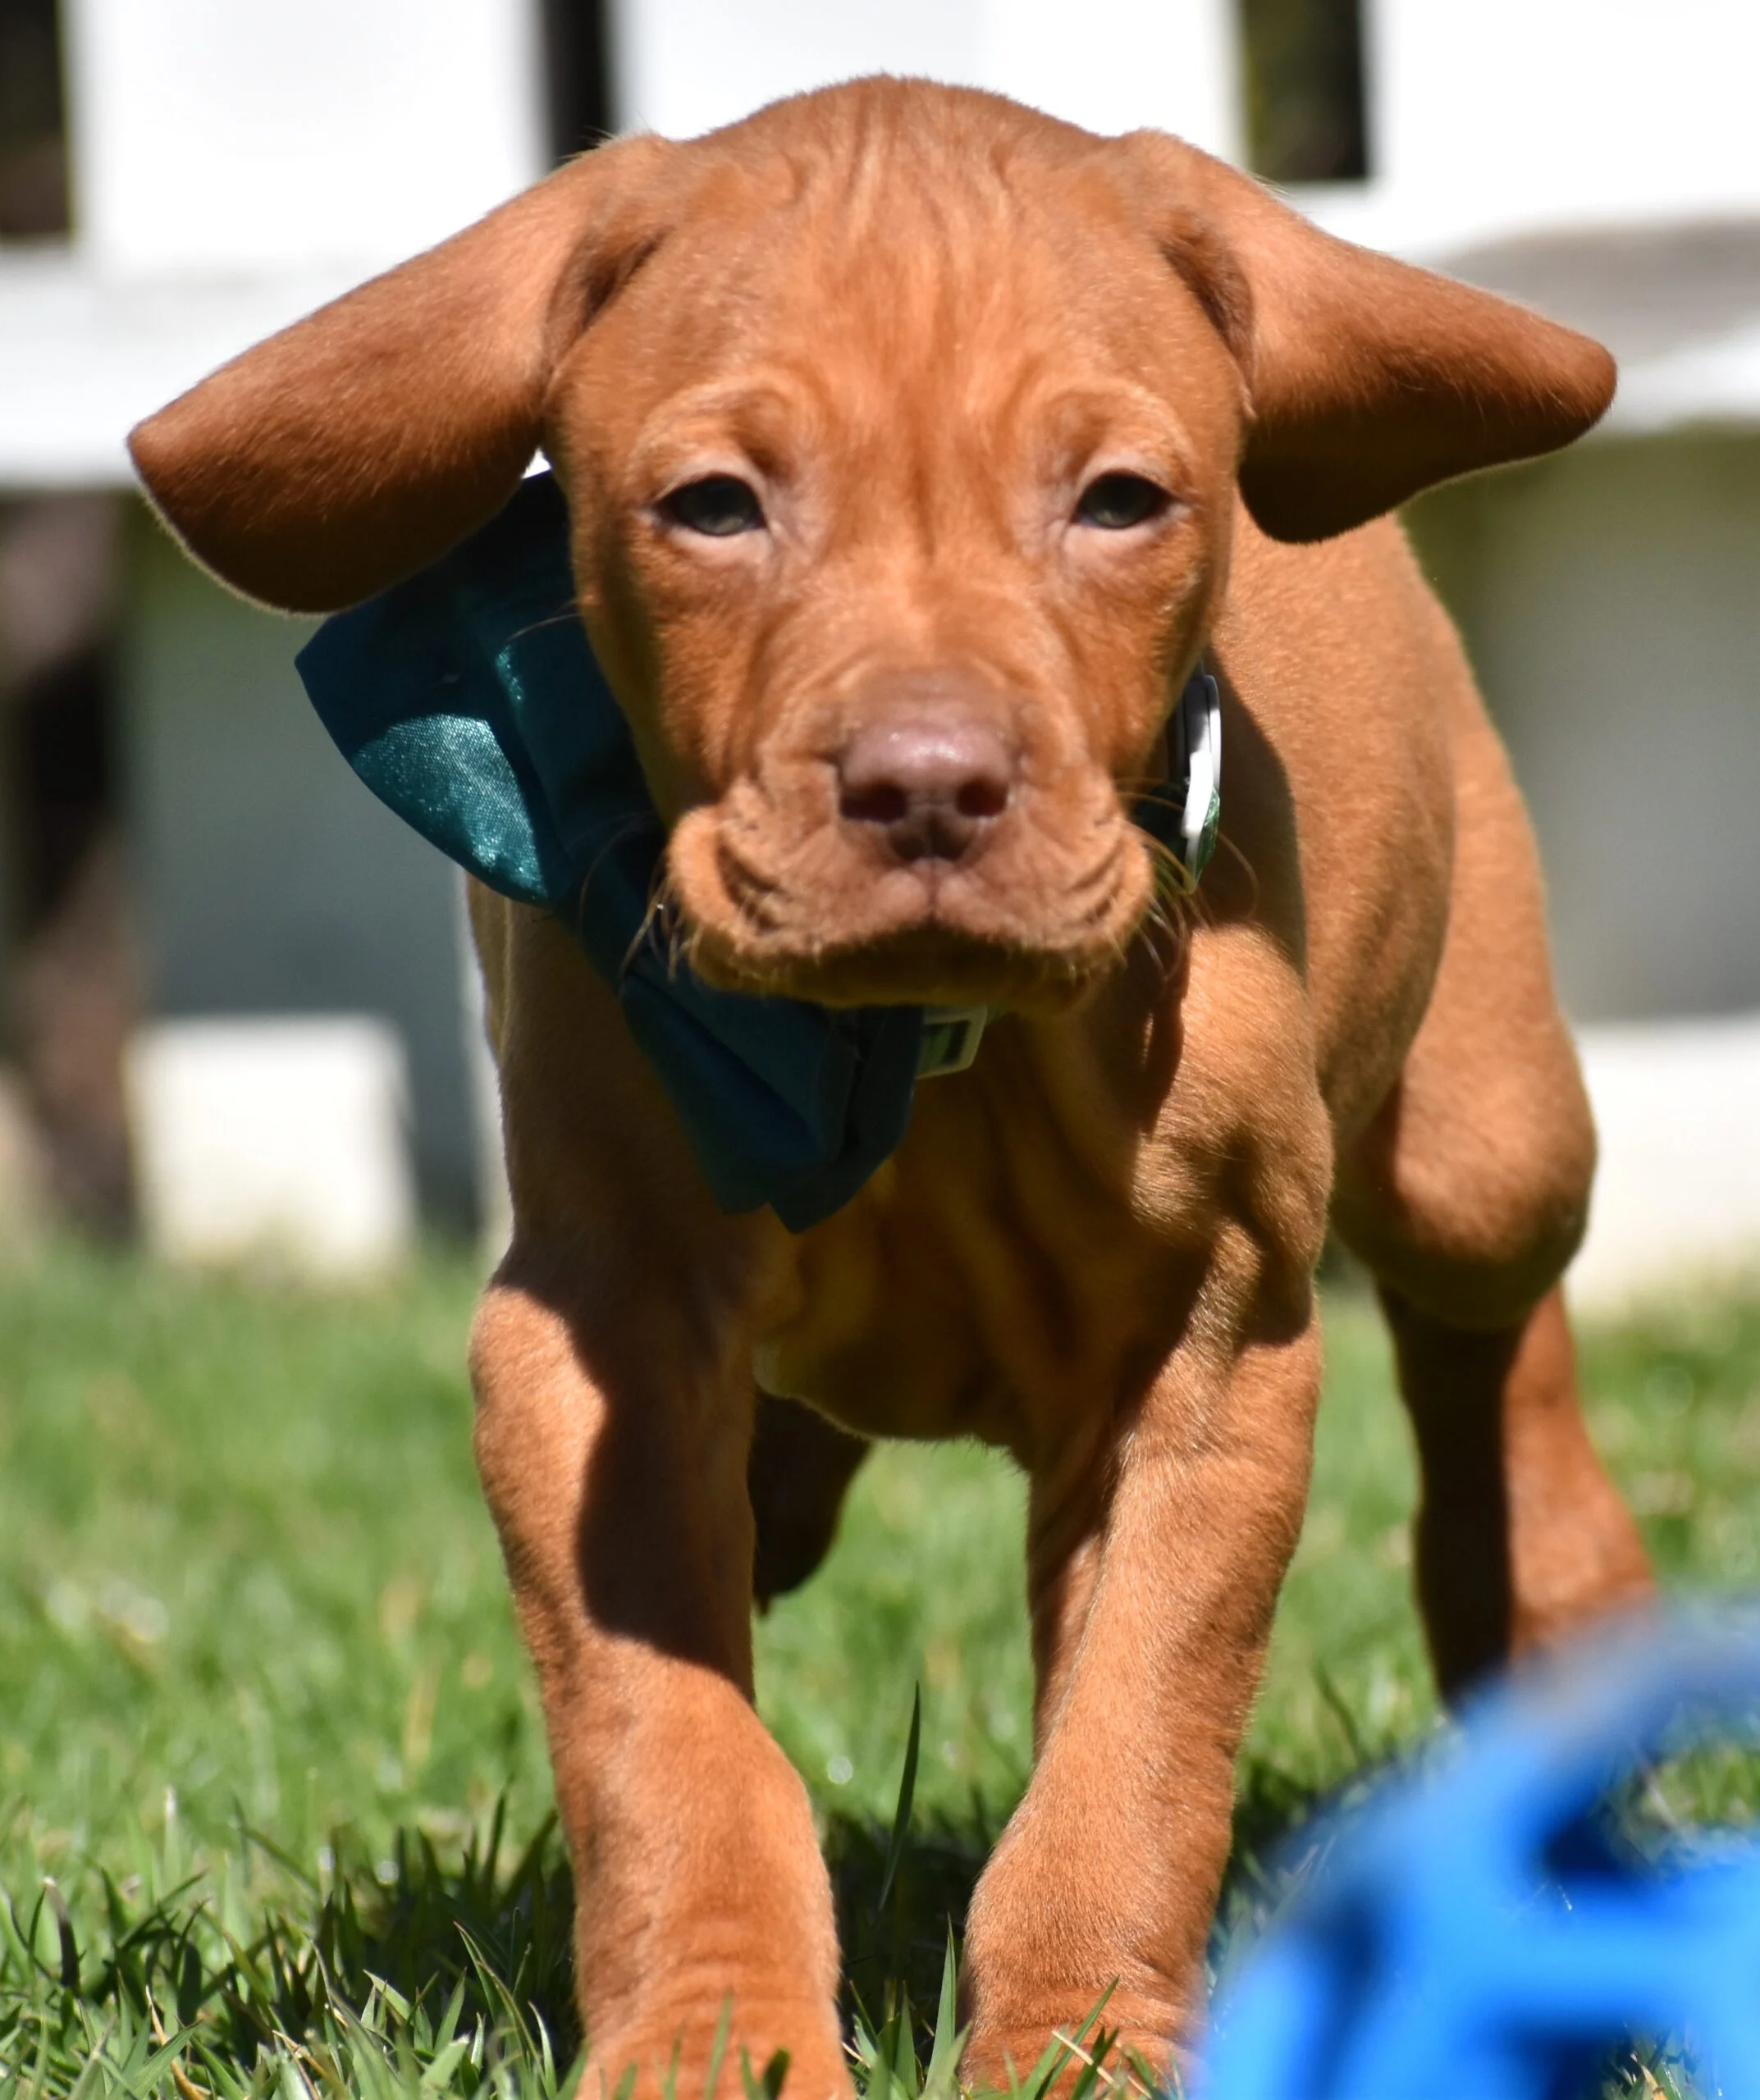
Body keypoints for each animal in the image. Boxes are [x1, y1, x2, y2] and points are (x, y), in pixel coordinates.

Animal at [130, 74, 1663, 2091]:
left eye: (1118, 501)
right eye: (712, 507)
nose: (926, 787)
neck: (918, 1063)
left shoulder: (1211, 1365)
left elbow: (1129, 1756)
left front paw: (1079, 2041)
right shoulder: (594, 1342)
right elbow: (671, 1746)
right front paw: (716, 2036)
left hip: (1484, 1135)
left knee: (1496, 1333)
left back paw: (1561, 1621)